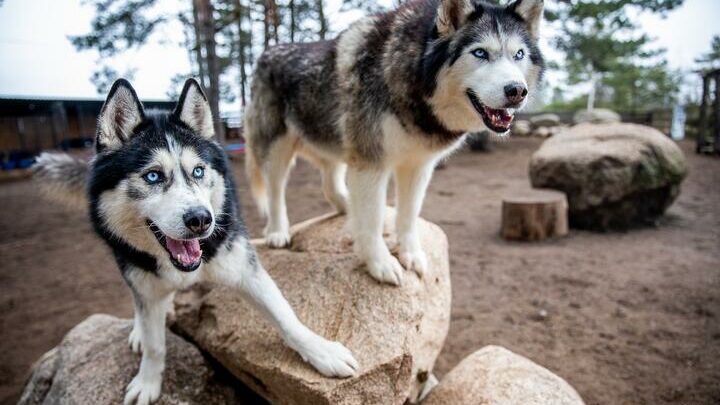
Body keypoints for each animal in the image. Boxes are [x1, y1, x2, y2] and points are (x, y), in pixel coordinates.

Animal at [34, 79, 360, 404]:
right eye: (153, 176)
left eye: (198, 171)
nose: (202, 219)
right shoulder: (143, 281)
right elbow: (154, 342)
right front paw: (148, 380)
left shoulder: (245, 269)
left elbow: (286, 318)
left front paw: (322, 352)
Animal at [245, 0, 544, 284]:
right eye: (480, 52)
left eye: (518, 54)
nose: (517, 91)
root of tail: (264, 54)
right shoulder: (370, 163)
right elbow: (373, 219)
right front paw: (381, 264)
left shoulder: (418, 166)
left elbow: (408, 215)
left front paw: (411, 255)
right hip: (278, 151)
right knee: (275, 193)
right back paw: (277, 232)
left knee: (330, 186)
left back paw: (347, 207)